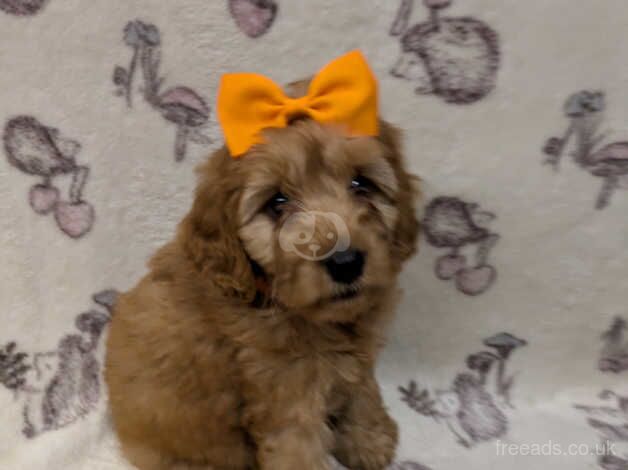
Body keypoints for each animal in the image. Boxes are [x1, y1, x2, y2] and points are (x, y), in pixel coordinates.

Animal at [105, 79, 420, 468]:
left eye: (361, 184)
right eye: (277, 203)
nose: (346, 262)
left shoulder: (357, 354)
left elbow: (362, 390)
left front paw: (371, 440)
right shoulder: (285, 395)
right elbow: (298, 450)